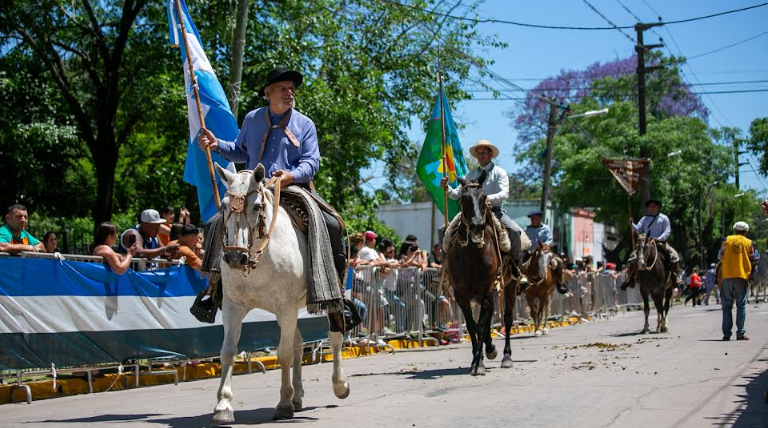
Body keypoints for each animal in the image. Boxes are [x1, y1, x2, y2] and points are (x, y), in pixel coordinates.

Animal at [213, 162, 352, 422]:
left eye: (257, 206)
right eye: (223, 205)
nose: (235, 257)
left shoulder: (286, 307)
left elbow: (284, 353)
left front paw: (284, 403)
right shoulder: (233, 306)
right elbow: (228, 351)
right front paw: (223, 406)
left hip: (326, 301)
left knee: (335, 337)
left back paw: (339, 385)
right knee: (298, 344)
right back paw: (297, 396)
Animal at [444, 171, 516, 374]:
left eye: (484, 198)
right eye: (464, 198)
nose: (477, 225)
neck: (472, 256)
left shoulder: (486, 291)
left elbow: (481, 326)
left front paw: (479, 364)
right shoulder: (461, 295)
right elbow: (472, 326)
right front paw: (478, 358)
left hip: (509, 286)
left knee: (507, 318)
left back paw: (506, 357)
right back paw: (490, 349)